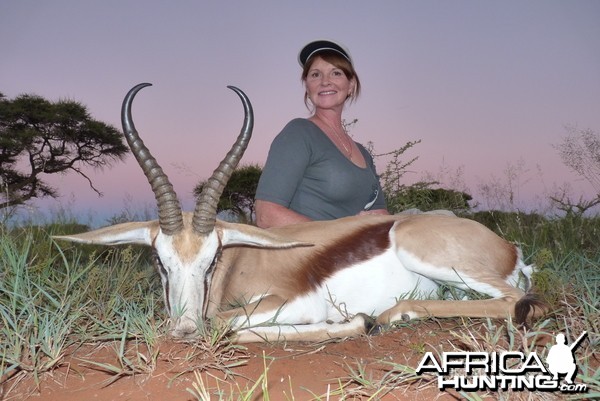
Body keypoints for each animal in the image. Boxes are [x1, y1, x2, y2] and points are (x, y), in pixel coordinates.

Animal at [54, 83, 540, 342]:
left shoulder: (291, 301)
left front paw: (353, 320)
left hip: (429, 255)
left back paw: (387, 316)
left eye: (212, 259)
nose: (185, 328)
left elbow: (228, 326)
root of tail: (510, 249)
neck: (241, 262)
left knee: (517, 302)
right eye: (160, 260)